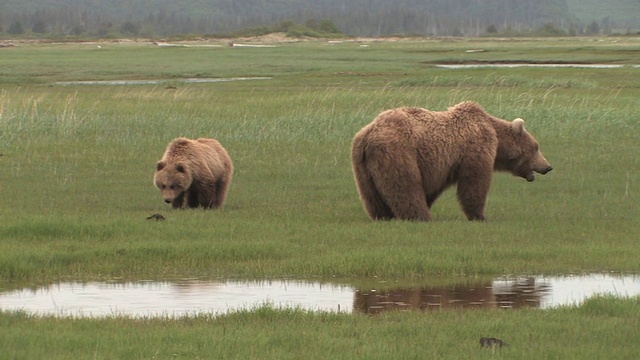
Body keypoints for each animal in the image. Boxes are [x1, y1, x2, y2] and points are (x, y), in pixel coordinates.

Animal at [350, 100, 552, 221]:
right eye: (536, 147)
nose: (548, 167)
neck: (496, 136)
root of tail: (370, 134)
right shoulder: (475, 148)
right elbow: (475, 183)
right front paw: (479, 216)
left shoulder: (444, 166)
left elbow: (435, 187)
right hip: (398, 152)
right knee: (405, 185)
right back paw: (420, 216)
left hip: (361, 163)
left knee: (371, 194)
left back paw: (384, 216)